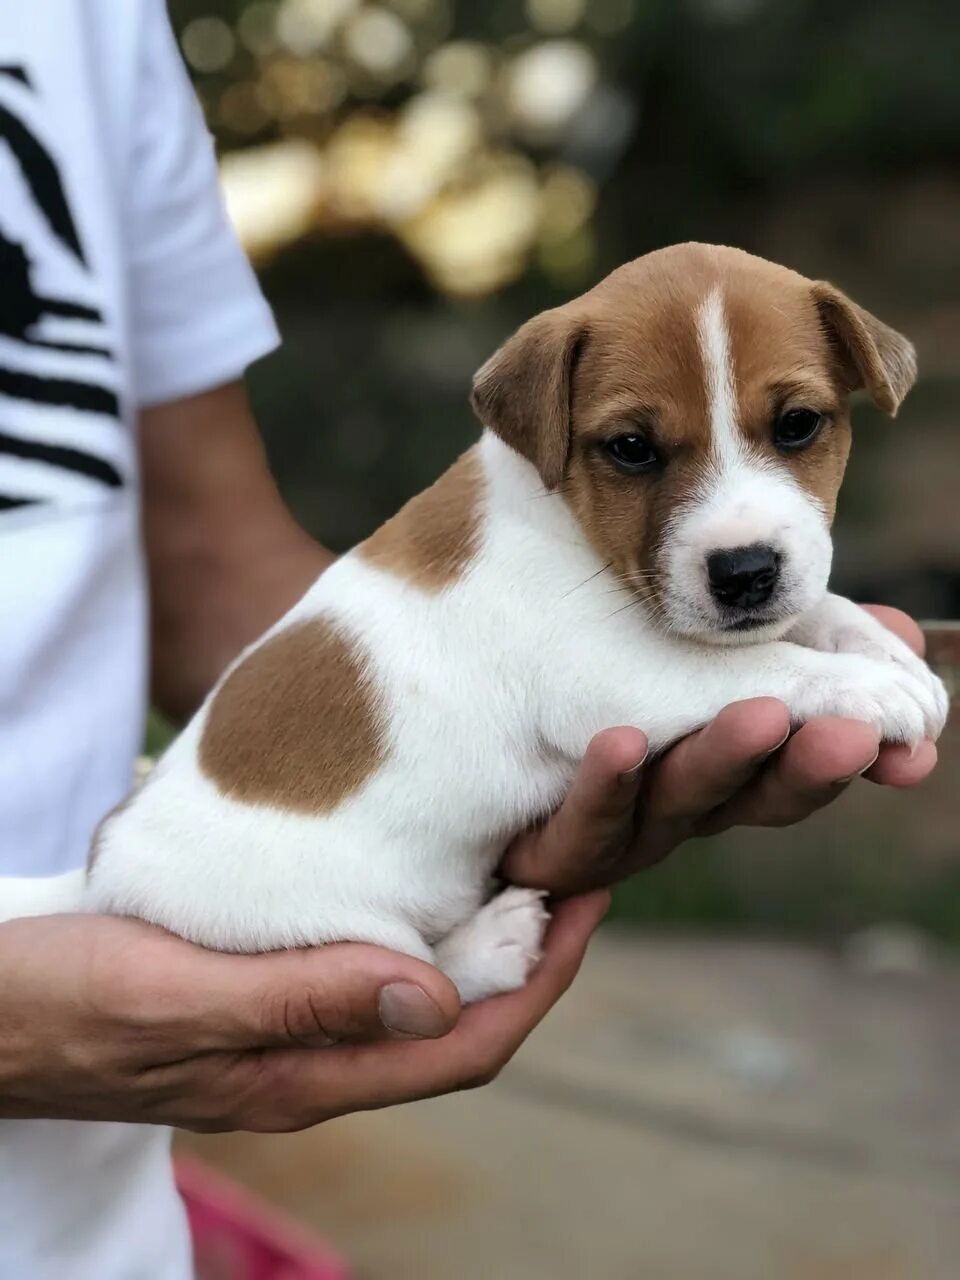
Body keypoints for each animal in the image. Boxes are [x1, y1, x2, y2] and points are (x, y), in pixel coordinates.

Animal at [3, 240, 952, 998]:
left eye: (797, 426)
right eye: (632, 449)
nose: (746, 573)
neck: (562, 512)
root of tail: (98, 866)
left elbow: (817, 611)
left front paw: (885, 651)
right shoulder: (614, 670)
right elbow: (758, 665)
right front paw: (871, 688)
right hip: (311, 927)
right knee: (427, 973)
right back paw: (491, 947)